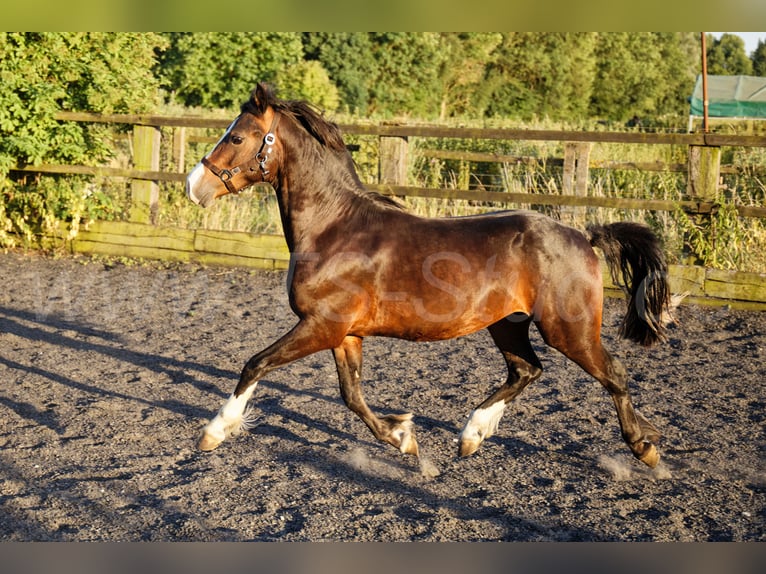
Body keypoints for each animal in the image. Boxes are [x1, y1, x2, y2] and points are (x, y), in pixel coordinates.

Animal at [186, 83, 672, 469]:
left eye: (237, 136)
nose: (195, 186)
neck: (334, 228)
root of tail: (584, 237)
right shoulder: (345, 334)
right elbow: (351, 395)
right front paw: (403, 439)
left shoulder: (321, 325)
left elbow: (256, 363)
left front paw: (214, 432)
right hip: (507, 323)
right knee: (526, 370)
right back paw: (471, 435)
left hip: (568, 328)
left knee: (613, 373)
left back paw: (644, 448)